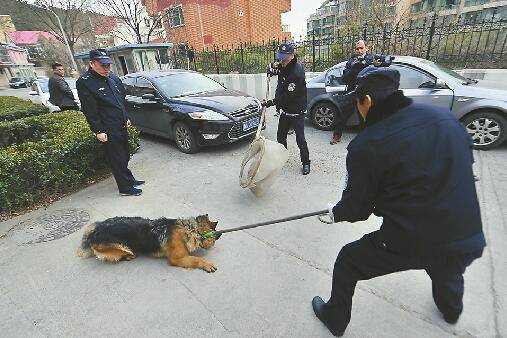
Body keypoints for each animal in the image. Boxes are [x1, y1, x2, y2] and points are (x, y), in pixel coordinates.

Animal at [77, 215, 218, 274]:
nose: (219, 236)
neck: (189, 229)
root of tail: (94, 232)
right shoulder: (177, 259)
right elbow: (196, 259)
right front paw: (207, 264)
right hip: (122, 247)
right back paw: (127, 257)